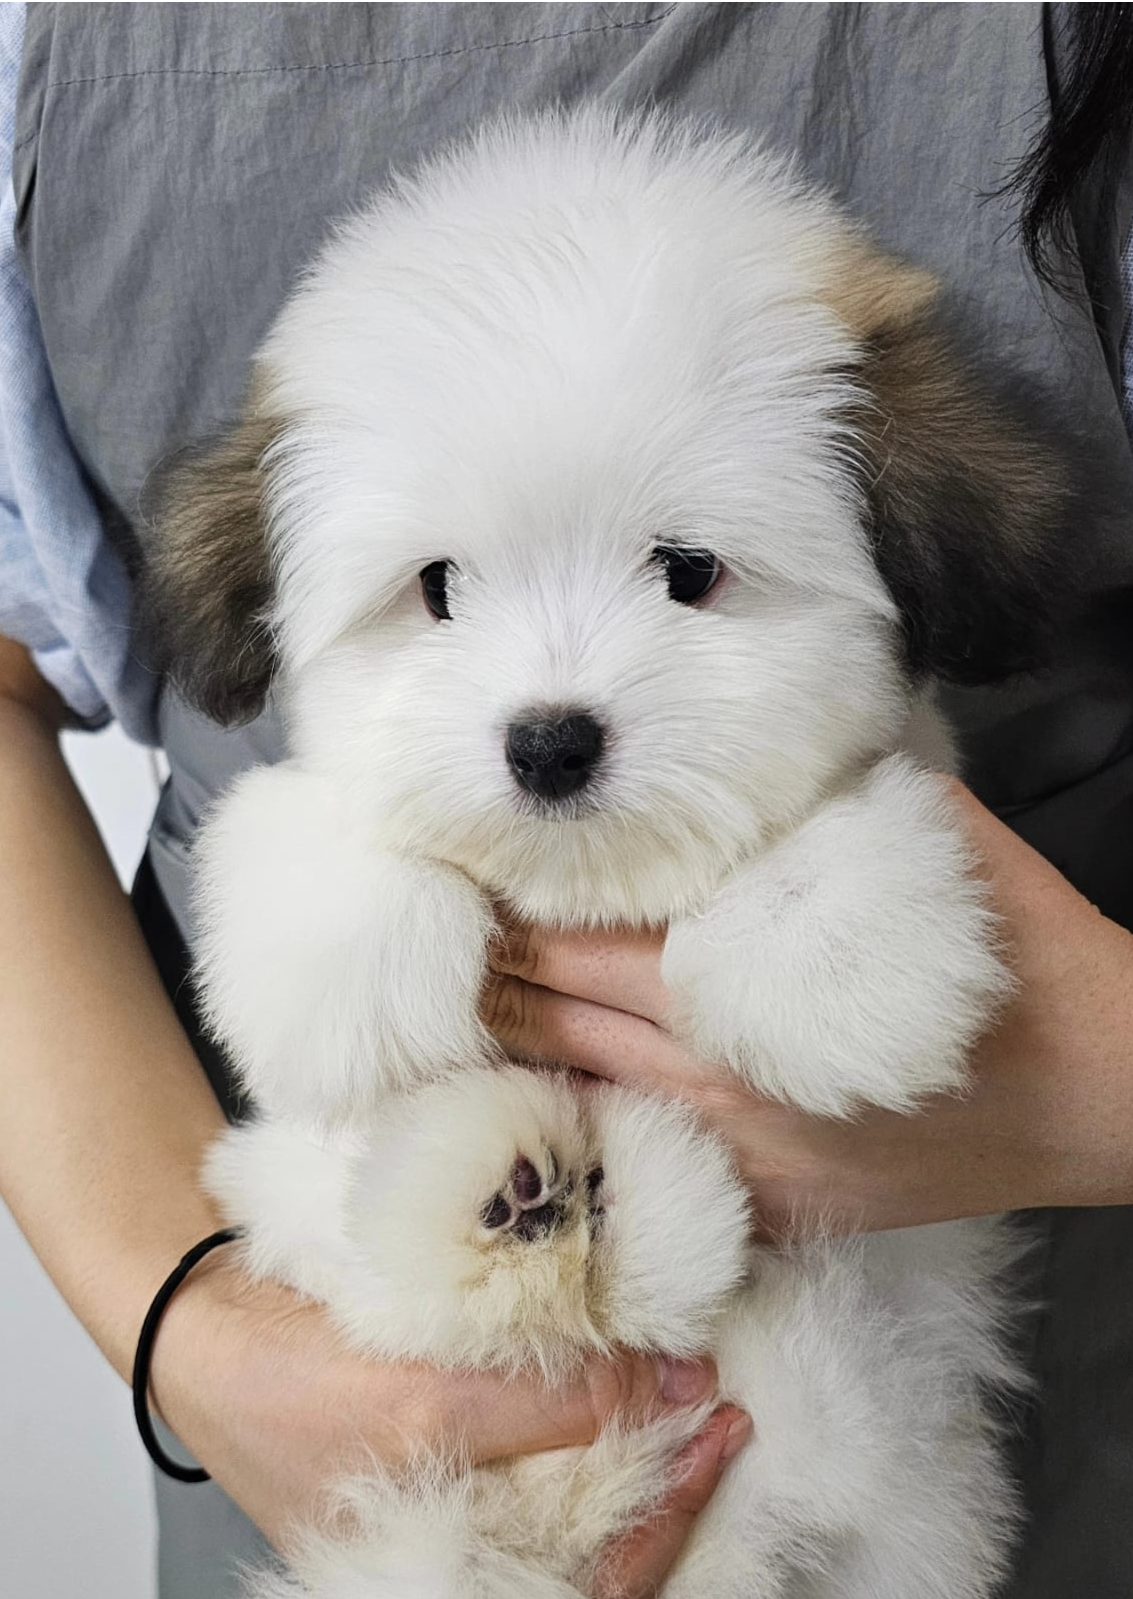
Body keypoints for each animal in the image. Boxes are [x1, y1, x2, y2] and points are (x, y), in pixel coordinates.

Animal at [150, 106, 1067, 1592]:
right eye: (437, 588)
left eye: (687, 571)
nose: (548, 741)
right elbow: (308, 835)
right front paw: (350, 959)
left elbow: (844, 821)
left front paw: (832, 959)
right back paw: (516, 1190)